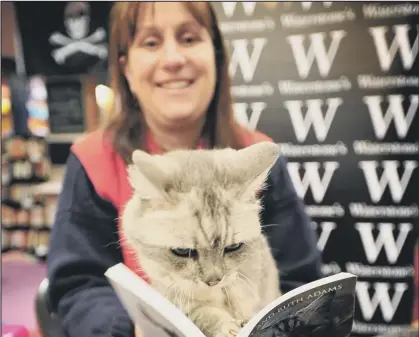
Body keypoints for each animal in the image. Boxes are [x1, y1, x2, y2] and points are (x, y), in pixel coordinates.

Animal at [123, 142, 284, 336]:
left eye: (233, 247)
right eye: (183, 251)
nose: (214, 281)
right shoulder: (173, 297)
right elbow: (203, 315)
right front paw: (228, 327)